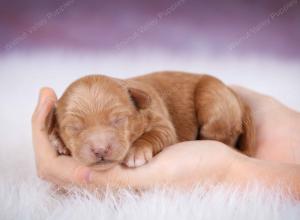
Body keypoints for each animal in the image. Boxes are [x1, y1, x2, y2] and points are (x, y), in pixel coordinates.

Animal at [47, 71, 255, 169]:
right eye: (73, 128)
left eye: (119, 120)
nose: (100, 150)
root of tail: (232, 93)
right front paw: (58, 142)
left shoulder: (162, 125)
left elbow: (152, 135)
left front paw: (136, 153)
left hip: (214, 103)